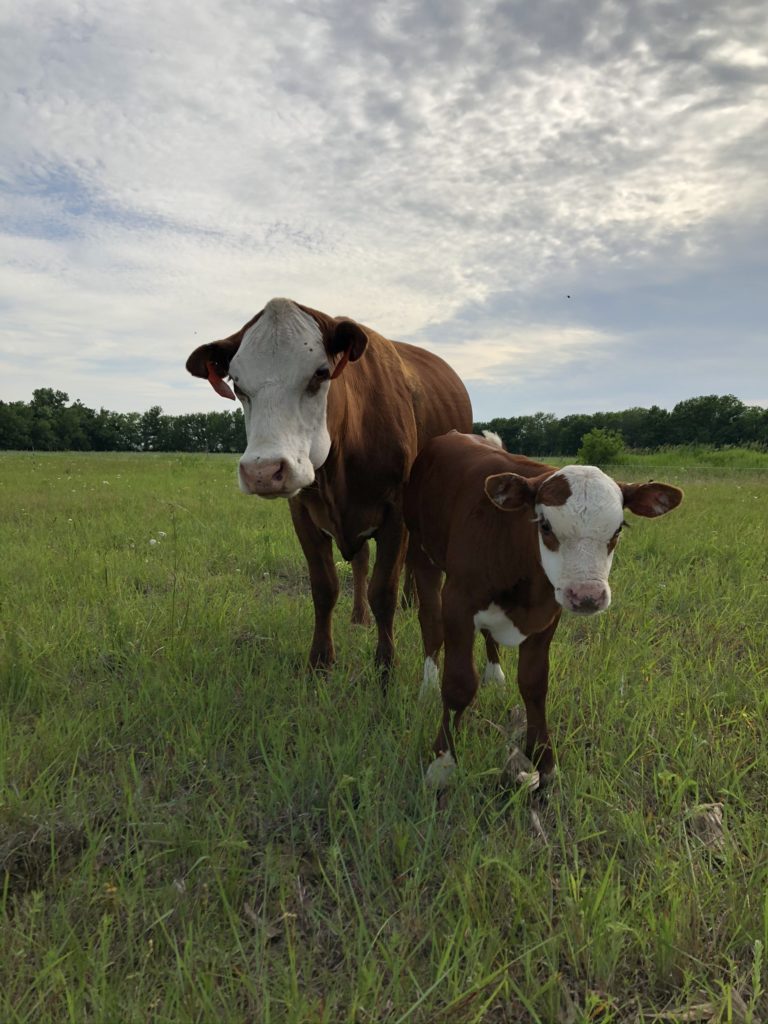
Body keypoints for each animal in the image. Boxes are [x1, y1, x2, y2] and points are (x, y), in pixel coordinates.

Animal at [188, 296, 475, 679]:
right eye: (238, 385)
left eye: (319, 374)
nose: (262, 471)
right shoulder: (303, 513)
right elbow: (325, 588)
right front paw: (321, 662)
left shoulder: (396, 514)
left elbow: (383, 590)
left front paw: (386, 668)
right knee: (363, 562)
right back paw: (359, 618)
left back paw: (409, 602)